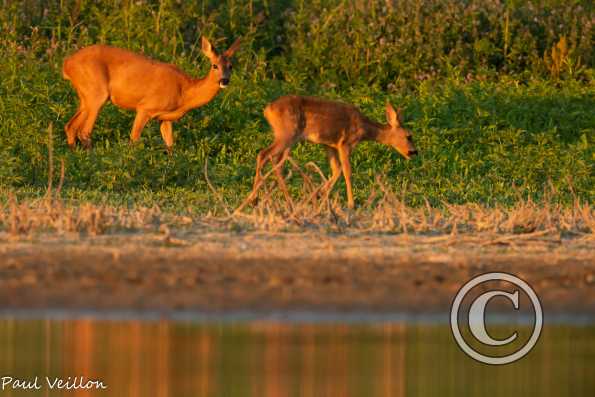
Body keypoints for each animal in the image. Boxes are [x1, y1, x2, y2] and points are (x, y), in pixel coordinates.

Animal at [62, 37, 240, 152]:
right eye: (214, 65)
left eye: (231, 66)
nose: (224, 80)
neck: (184, 93)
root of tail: (67, 64)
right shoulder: (145, 107)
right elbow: (134, 138)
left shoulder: (165, 118)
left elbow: (170, 145)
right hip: (97, 93)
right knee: (84, 131)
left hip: (85, 96)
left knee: (70, 126)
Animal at [249, 95, 416, 207]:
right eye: (409, 136)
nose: (414, 152)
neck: (364, 128)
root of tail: (267, 110)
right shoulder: (346, 143)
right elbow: (347, 171)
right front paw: (351, 203)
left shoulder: (329, 145)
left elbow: (336, 169)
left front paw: (319, 195)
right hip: (287, 134)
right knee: (263, 154)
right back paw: (254, 199)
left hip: (289, 138)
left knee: (277, 163)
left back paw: (284, 198)